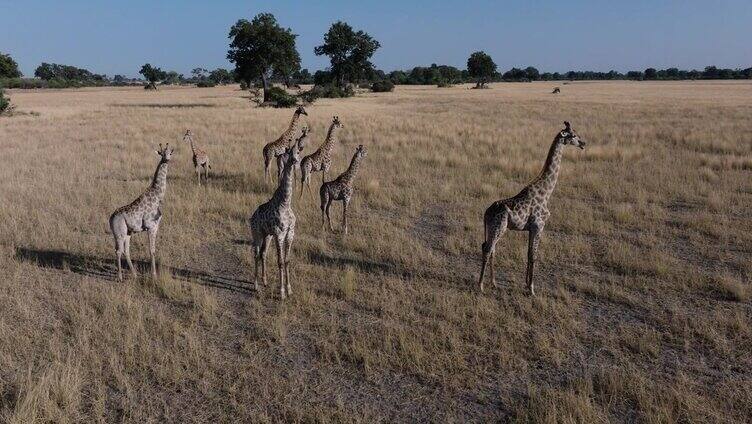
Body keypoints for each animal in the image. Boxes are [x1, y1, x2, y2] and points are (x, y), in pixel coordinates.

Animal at [108, 143, 175, 282]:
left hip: (128, 232)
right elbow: (152, 250)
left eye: (170, 153)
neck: (157, 196)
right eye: (162, 153)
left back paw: (134, 275)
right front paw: (154, 275)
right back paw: (120, 277)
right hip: (119, 233)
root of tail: (110, 218)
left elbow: (153, 250)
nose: (167, 159)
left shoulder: (155, 226)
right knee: (118, 251)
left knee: (126, 251)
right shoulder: (151, 226)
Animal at [248, 139, 304, 298]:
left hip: (267, 235)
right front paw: (282, 292)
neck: (285, 203)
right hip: (257, 234)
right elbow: (280, 261)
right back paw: (255, 286)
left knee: (263, 254)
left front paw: (289, 289)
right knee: (256, 254)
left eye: (298, 151)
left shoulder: (290, 233)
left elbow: (287, 260)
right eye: (288, 152)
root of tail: (252, 217)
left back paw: (265, 281)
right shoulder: (280, 233)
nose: (295, 160)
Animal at [478, 121, 584, 294]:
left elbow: (528, 254)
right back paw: (480, 285)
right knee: (487, 249)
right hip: (499, 227)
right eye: (573, 135)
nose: (583, 143)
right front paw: (532, 290)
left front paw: (526, 285)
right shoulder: (539, 225)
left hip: (494, 228)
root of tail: (486, 213)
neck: (546, 192)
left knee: (491, 249)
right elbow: (534, 255)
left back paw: (493, 283)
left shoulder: (531, 228)